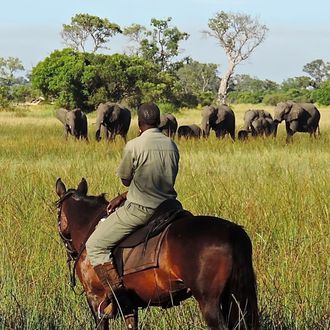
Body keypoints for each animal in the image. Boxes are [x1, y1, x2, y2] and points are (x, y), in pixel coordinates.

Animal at [55, 178, 260, 330]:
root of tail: (233, 232)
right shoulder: (129, 305)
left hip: (209, 302)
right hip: (232, 298)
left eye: (57, 215)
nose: (71, 252)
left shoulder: (95, 299)